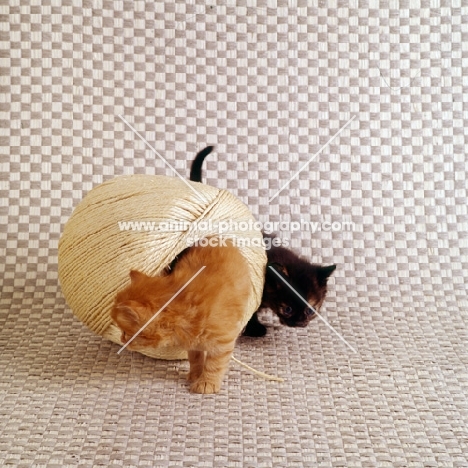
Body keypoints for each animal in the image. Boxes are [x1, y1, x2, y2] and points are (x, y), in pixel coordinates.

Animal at [110, 241, 252, 394]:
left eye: (125, 333)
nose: (122, 340)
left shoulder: (222, 342)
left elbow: (214, 365)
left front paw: (206, 382)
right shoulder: (193, 343)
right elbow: (195, 359)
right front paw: (195, 374)